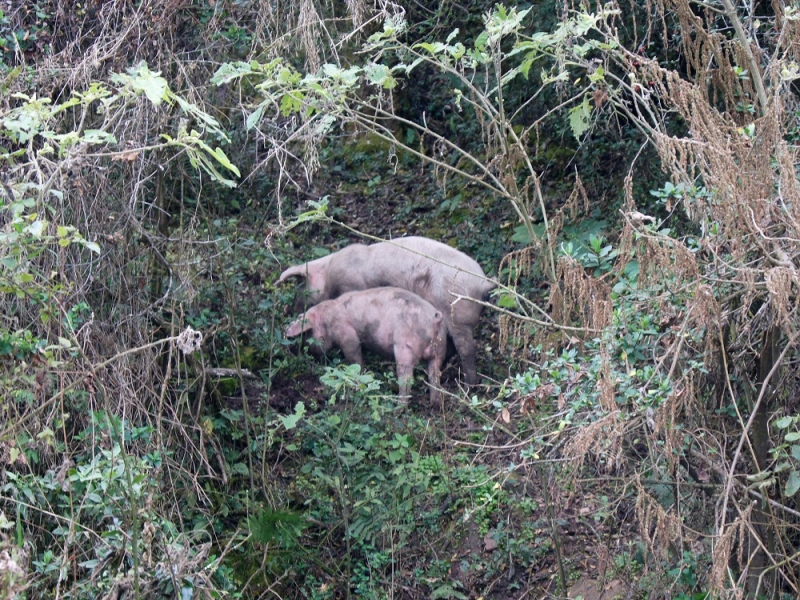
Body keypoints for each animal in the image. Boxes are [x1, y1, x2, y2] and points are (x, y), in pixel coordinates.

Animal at [286, 288, 450, 404]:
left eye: (308, 333)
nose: (309, 353)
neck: (327, 319)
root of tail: (435, 318)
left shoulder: (347, 335)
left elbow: (354, 356)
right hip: (440, 349)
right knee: (434, 376)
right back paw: (435, 405)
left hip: (405, 347)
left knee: (406, 377)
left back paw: (398, 408)